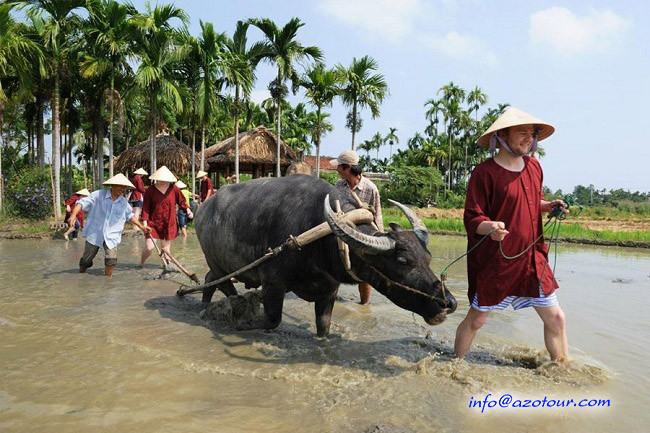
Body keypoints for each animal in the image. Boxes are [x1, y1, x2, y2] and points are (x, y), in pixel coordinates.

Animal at [192, 174, 456, 336]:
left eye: (428, 258)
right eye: (403, 261)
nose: (448, 303)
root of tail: (202, 209)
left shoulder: (329, 289)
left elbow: (324, 326)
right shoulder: (273, 284)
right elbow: (272, 321)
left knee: (209, 280)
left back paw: (204, 306)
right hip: (218, 263)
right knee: (224, 286)